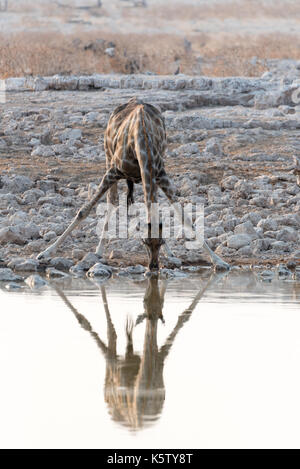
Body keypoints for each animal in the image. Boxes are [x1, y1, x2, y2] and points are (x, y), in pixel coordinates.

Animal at [37, 97, 230, 270]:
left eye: (161, 241)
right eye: (144, 241)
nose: (154, 267)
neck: (141, 139)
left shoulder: (160, 176)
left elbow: (184, 216)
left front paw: (219, 261)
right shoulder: (113, 172)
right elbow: (84, 210)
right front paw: (46, 253)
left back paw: (170, 254)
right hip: (107, 157)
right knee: (112, 200)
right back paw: (98, 250)